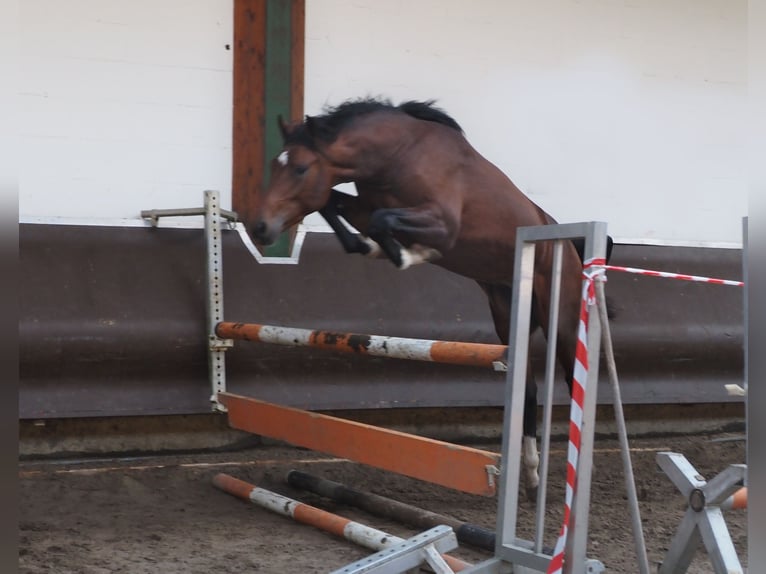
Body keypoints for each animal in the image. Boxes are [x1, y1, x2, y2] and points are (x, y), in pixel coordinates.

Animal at [250, 99, 612, 500]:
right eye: (274, 165)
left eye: (300, 168)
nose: (259, 228)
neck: (398, 155)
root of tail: (571, 249)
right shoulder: (365, 204)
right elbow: (336, 205)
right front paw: (371, 247)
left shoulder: (442, 223)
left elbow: (381, 220)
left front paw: (409, 253)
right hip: (507, 313)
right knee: (529, 390)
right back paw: (532, 478)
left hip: (560, 321)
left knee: (574, 380)